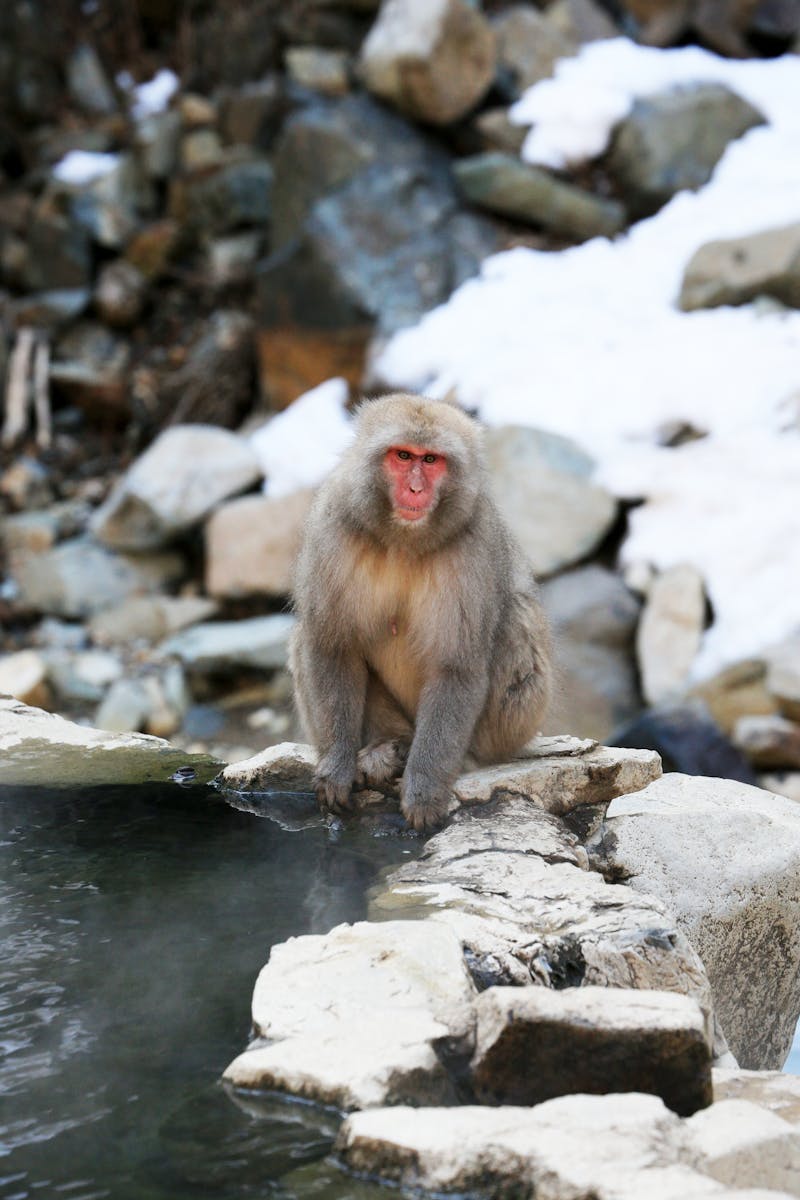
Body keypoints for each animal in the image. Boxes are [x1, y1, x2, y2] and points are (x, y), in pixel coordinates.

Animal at [290, 392, 552, 833]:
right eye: (402, 455)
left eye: (431, 460)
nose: (415, 488)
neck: (403, 540)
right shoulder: (333, 525)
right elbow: (332, 647)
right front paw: (336, 768)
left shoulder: (474, 545)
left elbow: (456, 669)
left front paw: (425, 789)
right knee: (303, 637)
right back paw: (391, 746)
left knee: (516, 622)